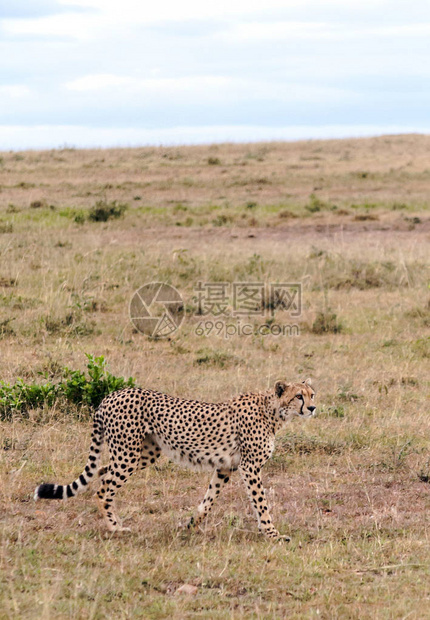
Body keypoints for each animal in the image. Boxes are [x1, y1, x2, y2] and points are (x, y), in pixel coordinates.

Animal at [34, 376, 316, 540]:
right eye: (298, 396)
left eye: (312, 394)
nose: (313, 408)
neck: (274, 411)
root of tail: (111, 395)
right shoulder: (250, 467)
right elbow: (261, 502)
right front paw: (272, 533)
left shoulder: (226, 467)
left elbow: (208, 500)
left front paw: (190, 525)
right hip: (128, 454)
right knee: (103, 487)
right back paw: (115, 527)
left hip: (144, 453)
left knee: (102, 472)